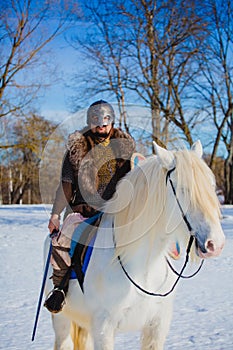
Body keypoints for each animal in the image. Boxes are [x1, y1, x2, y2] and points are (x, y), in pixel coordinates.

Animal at [44, 142, 226, 350]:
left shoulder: (157, 326)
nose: (216, 244)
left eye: (211, 186)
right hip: (62, 320)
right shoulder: (103, 328)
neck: (144, 265)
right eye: (183, 188)